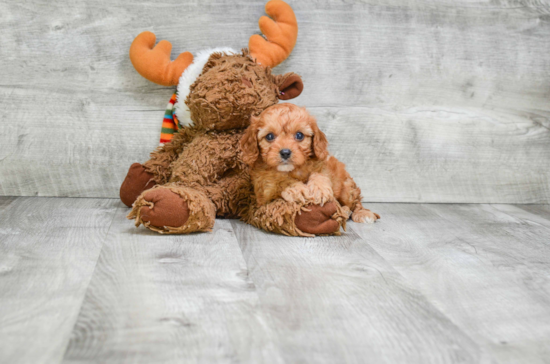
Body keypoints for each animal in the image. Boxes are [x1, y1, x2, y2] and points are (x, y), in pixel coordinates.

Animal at [242, 103, 380, 225]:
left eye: (299, 135)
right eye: (269, 136)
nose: (285, 152)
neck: (292, 169)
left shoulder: (323, 166)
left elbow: (319, 174)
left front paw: (319, 189)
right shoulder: (264, 189)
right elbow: (280, 181)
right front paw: (298, 189)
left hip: (347, 188)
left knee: (355, 203)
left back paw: (361, 213)